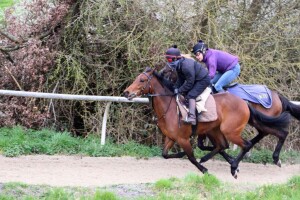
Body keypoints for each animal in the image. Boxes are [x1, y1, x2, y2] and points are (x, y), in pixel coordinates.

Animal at [122, 67, 290, 177]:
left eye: (142, 79)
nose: (126, 92)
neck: (169, 108)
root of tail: (243, 102)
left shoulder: (183, 138)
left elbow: (191, 157)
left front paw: (204, 169)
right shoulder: (171, 137)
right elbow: (165, 154)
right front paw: (187, 155)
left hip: (230, 130)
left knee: (247, 144)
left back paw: (235, 167)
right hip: (218, 129)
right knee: (227, 144)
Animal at [162, 63, 300, 166]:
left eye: (168, 71)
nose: (161, 75)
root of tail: (277, 96)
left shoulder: (209, 126)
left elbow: (216, 145)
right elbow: (208, 145)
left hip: (263, 119)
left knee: (273, 133)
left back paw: (274, 157)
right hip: (258, 121)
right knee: (263, 134)